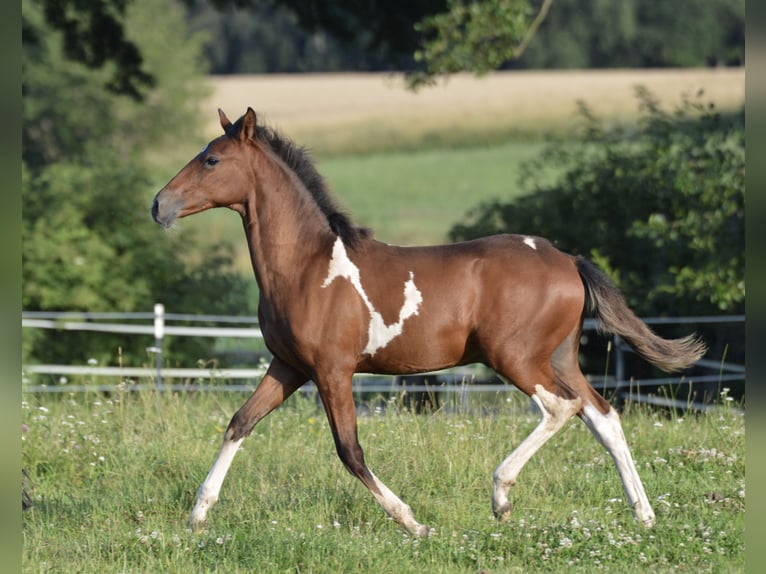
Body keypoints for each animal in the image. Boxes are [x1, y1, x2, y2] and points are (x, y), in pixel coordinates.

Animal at [150, 109, 708, 540]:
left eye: (212, 159)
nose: (158, 205)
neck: (307, 267)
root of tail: (567, 259)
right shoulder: (288, 366)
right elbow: (239, 422)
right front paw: (198, 514)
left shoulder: (332, 370)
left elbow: (349, 450)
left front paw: (414, 523)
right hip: (558, 357)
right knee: (602, 415)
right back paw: (644, 514)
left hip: (514, 358)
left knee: (561, 408)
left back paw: (501, 496)